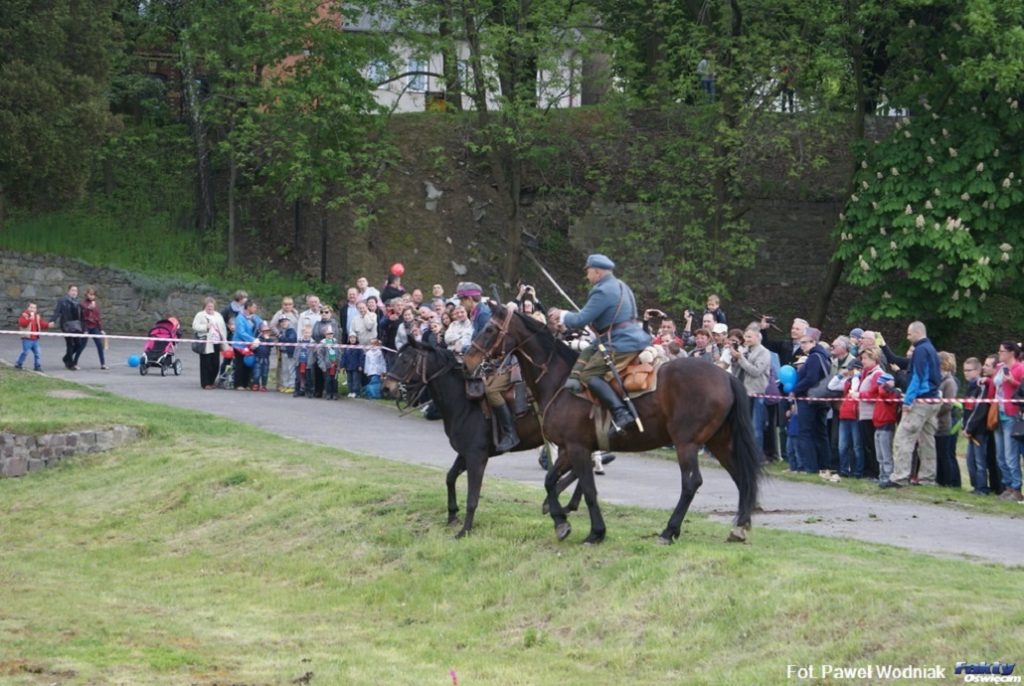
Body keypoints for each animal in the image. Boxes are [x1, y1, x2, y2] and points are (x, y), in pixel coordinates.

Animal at [462, 309, 761, 544]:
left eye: (489, 329)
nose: (468, 361)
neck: (559, 381)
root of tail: (725, 376)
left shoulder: (577, 448)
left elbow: (589, 490)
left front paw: (595, 532)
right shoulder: (570, 449)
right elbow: (550, 482)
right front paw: (560, 521)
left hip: (686, 444)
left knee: (692, 483)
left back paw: (669, 531)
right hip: (719, 442)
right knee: (741, 478)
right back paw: (739, 528)